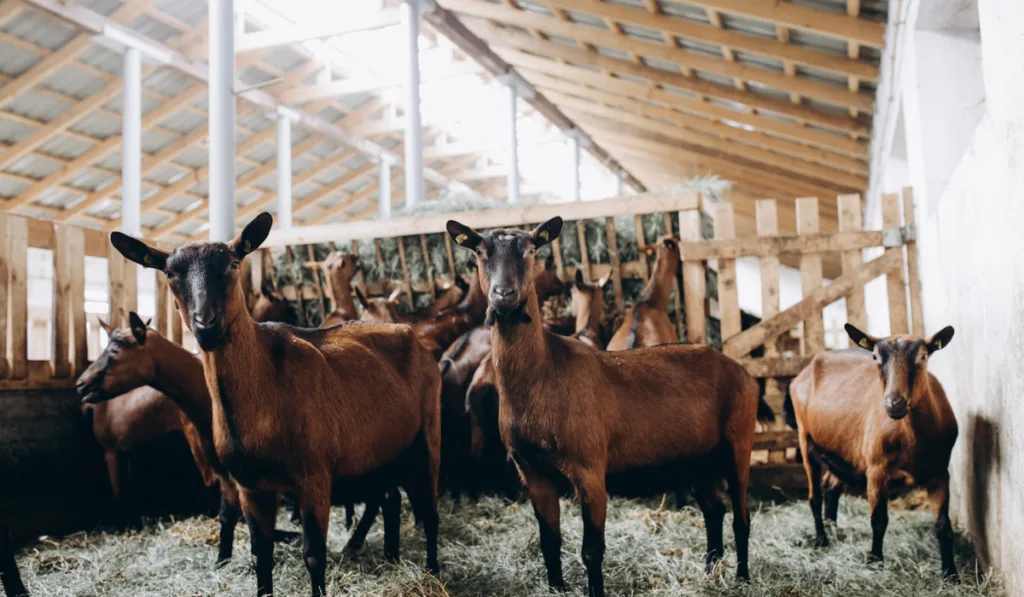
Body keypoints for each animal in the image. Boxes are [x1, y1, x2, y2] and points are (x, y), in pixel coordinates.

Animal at [110, 215, 442, 597]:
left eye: (233, 263)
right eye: (169, 273)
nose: (206, 324)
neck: (264, 394)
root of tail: (411, 335)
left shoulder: (314, 477)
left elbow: (313, 555)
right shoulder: (250, 486)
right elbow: (260, 555)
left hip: (428, 437)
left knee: (429, 512)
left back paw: (432, 570)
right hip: (383, 451)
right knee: (390, 500)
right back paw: (390, 558)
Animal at [444, 216, 765, 593]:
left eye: (532, 249)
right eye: (479, 252)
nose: (504, 294)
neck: (545, 373)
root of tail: (742, 372)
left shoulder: (590, 468)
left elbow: (591, 550)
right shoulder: (532, 471)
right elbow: (549, 542)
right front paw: (556, 587)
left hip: (738, 442)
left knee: (741, 516)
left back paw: (743, 577)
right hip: (695, 456)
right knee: (714, 510)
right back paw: (710, 571)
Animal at [782, 325, 958, 581]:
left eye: (923, 357)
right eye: (875, 357)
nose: (894, 404)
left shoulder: (940, 472)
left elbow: (943, 525)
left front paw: (951, 573)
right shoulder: (876, 469)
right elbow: (878, 519)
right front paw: (875, 560)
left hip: (842, 450)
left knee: (831, 487)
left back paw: (832, 529)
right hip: (805, 438)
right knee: (814, 495)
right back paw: (822, 539)